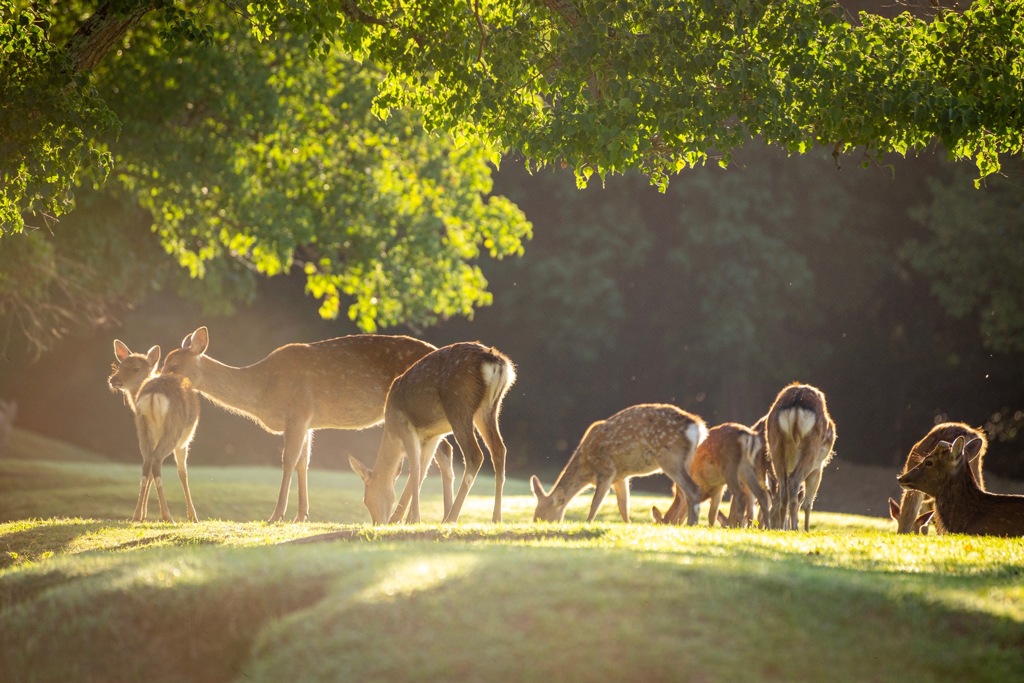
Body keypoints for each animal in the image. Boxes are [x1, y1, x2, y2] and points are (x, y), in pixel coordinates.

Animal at [160, 327, 456, 520]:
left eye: (173, 365)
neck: (263, 391)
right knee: (445, 452)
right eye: (164, 362)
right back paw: (445, 515)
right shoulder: (308, 421)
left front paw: (276, 516)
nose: (157, 380)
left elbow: (288, 460)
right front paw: (301, 516)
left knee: (435, 455)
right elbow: (304, 462)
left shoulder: (298, 412)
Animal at [348, 342, 516, 524]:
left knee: (475, 455)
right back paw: (496, 518)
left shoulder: (405, 427)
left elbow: (415, 469)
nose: (378, 523)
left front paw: (410, 518)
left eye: (366, 499)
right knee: (499, 450)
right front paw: (405, 519)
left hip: (458, 404)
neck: (392, 435)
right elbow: (423, 470)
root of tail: (495, 361)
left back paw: (451, 518)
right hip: (489, 408)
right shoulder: (432, 436)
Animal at [532, 403, 708, 528]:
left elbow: (595, 503)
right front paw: (628, 525)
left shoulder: (606, 470)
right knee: (684, 493)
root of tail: (697, 426)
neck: (585, 467)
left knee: (692, 489)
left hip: (670, 457)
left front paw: (587, 524)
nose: (536, 524)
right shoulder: (621, 476)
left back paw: (692, 524)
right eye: (535, 516)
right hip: (687, 460)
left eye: (544, 518)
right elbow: (623, 506)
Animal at [765, 382, 835, 532]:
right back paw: (795, 528)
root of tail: (797, 399)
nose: (772, 527)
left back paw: (784, 528)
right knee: (794, 483)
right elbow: (807, 502)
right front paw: (807, 530)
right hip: (812, 449)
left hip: (775, 445)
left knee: (784, 487)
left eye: (770, 514)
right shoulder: (818, 468)